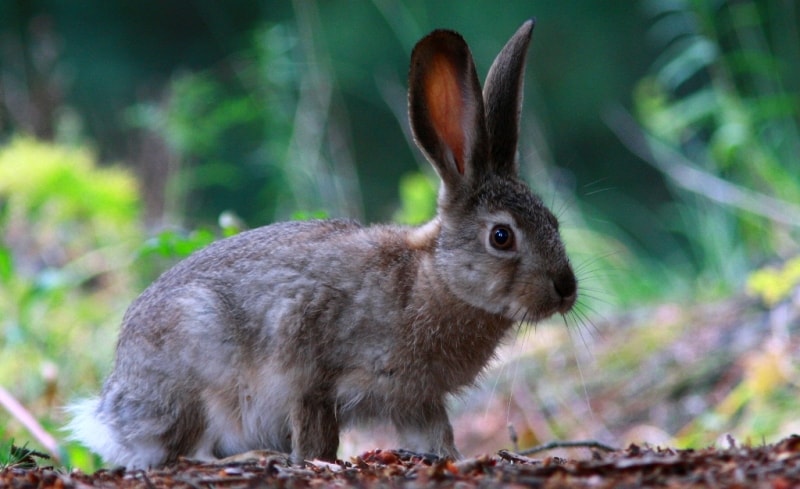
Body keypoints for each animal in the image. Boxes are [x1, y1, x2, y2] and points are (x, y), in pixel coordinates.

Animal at [64, 18, 576, 468]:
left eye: (553, 222)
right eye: (501, 236)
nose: (566, 290)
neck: (435, 280)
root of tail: (113, 414)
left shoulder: (415, 399)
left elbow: (435, 436)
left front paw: (451, 459)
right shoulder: (308, 368)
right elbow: (315, 436)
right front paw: (317, 464)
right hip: (200, 371)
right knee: (184, 453)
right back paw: (255, 457)